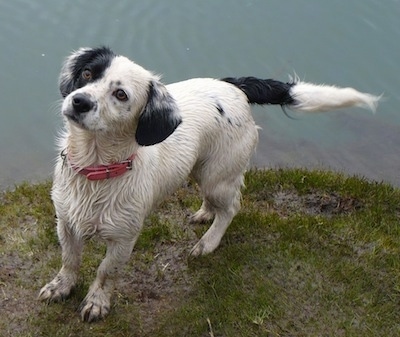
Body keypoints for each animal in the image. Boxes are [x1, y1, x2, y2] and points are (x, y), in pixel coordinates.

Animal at [38, 46, 382, 320]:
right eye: (86, 73)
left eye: (121, 95)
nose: (79, 101)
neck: (95, 171)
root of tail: (233, 86)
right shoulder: (66, 223)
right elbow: (70, 260)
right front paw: (61, 286)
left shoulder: (124, 238)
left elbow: (105, 271)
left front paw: (97, 302)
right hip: (200, 170)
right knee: (216, 202)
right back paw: (204, 213)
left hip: (217, 177)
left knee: (232, 208)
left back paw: (208, 242)